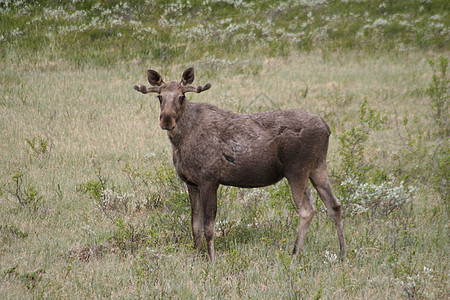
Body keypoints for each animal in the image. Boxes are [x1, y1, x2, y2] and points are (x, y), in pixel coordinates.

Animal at [133, 68, 344, 260]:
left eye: (182, 96)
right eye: (160, 97)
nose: (167, 120)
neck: (180, 142)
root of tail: (327, 129)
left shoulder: (209, 180)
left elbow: (209, 227)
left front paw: (212, 260)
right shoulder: (191, 183)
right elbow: (195, 227)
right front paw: (196, 258)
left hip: (297, 170)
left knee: (308, 210)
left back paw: (294, 255)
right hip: (317, 167)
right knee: (334, 205)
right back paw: (342, 253)